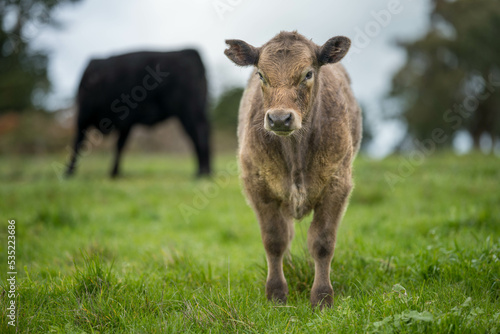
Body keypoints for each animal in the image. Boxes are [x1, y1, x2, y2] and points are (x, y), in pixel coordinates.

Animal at [65, 49, 211, 177]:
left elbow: (79, 143)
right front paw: (115, 172)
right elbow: (119, 145)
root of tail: (190, 52)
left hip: (189, 110)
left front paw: (69, 172)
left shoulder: (86, 117)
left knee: (199, 134)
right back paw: (205, 172)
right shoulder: (125, 123)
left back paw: (202, 172)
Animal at [225, 31, 362, 308]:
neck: (295, 154)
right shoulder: (258, 187)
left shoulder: (338, 184)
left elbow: (322, 242)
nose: (279, 118)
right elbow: (274, 240)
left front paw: (322, 297)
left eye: (308, 74)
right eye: (261, 75)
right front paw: (276, 293)